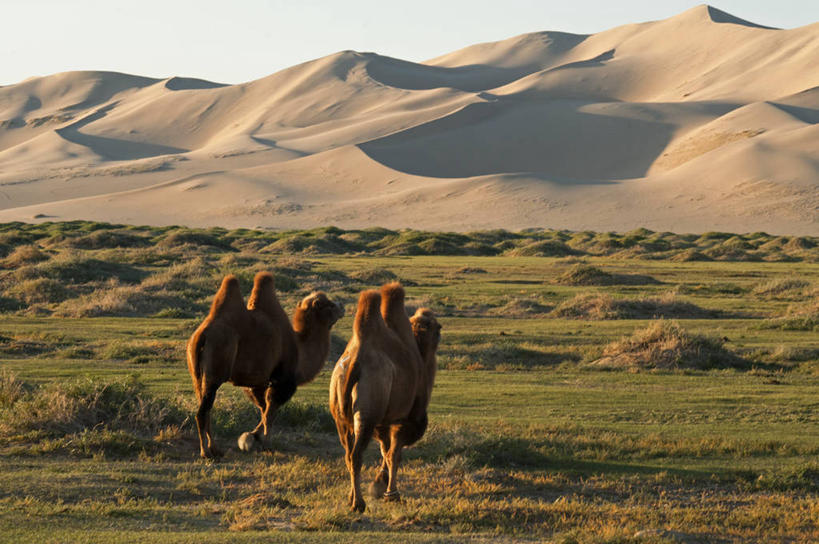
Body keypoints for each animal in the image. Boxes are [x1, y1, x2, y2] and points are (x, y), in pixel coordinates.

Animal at [188, 272, 342, 460]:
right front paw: (265, 444)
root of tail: (202, 335)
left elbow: (264, 409)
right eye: (329, 304)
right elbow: (270, 412)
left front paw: (252, 437)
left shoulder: (257, 381)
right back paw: (206, 452)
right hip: (216, 369)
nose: (342, 306)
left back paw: (215, 449)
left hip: (197, 375)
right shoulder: (282, 380)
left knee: (206, 407)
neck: (300, 348)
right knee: (202, 412)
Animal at [328, 282, 442, 512]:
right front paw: (392, 494)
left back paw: (351, 498)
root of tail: (355, 362)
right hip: (368, 411)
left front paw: (379, 486)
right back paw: (359, 504)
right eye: (438, 328)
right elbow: (394, 454)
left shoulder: (385, 421)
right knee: (356, 455)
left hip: (341, 413)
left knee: (348, 454)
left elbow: (384, 449)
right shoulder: (403, 420)